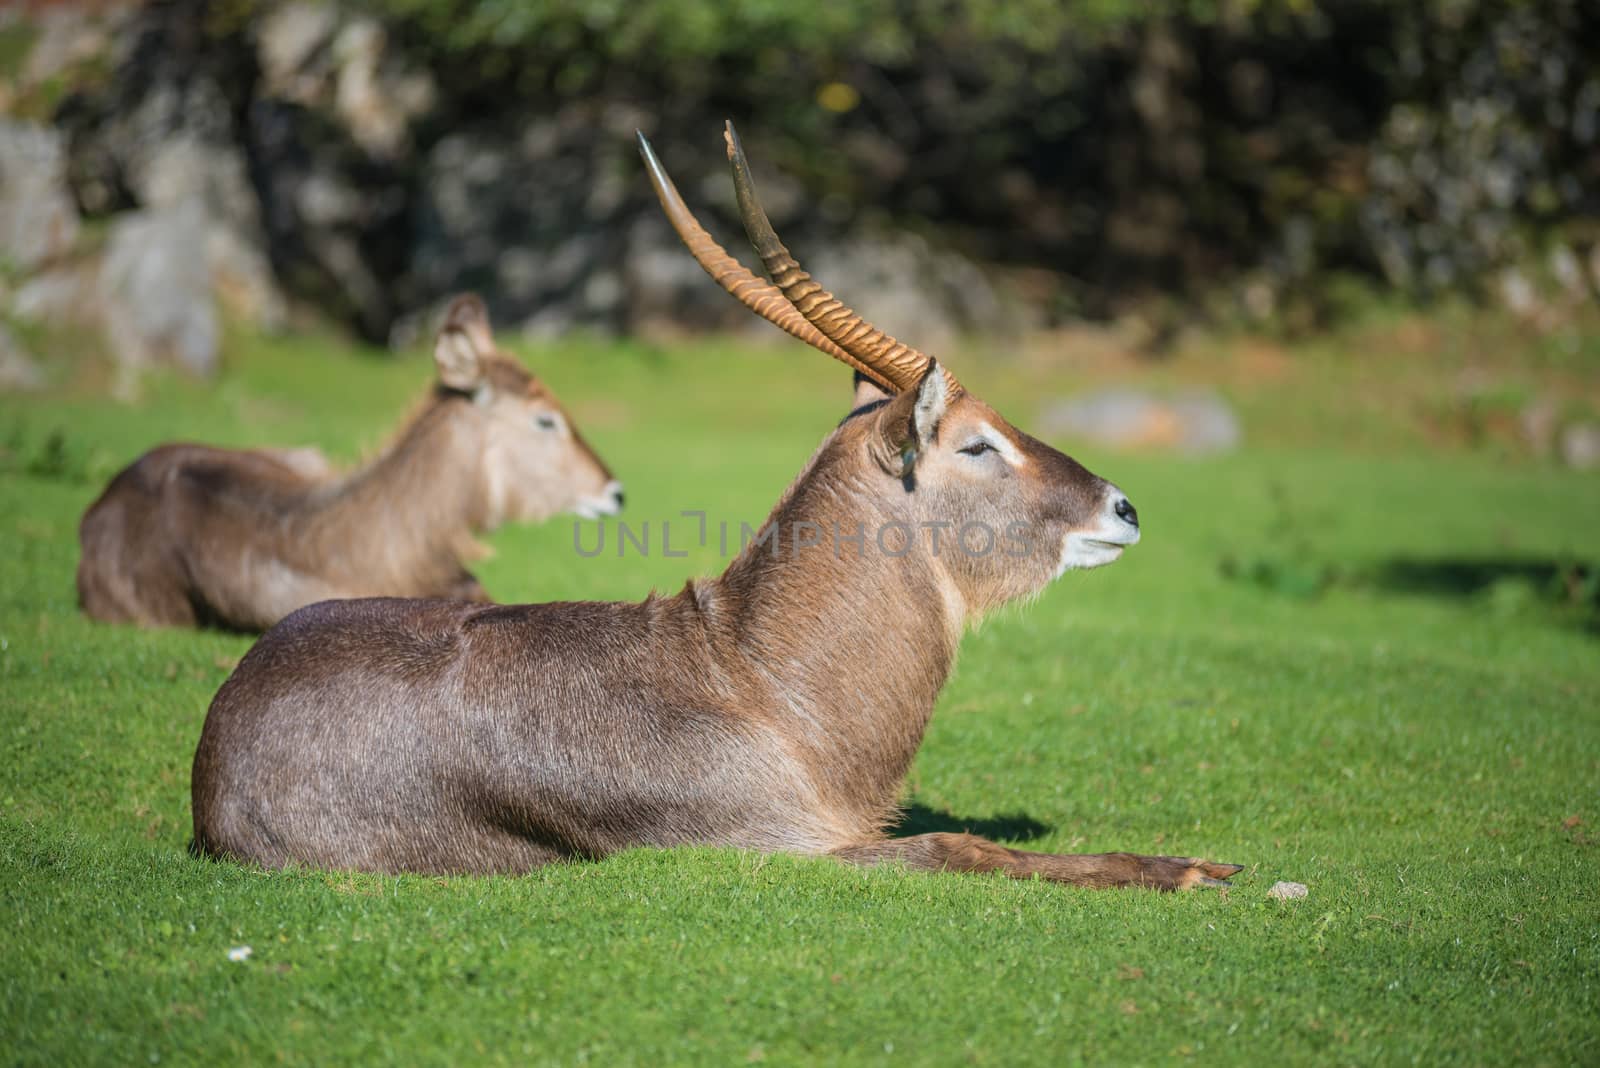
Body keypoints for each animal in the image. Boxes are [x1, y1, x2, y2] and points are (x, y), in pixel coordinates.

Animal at [193, 127, 1241, 895]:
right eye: (977, 443)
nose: (1123, 506)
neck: (757, 678)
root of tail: (220, 729)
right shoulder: (783, 845)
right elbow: (959, 846)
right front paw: (1186, 871)